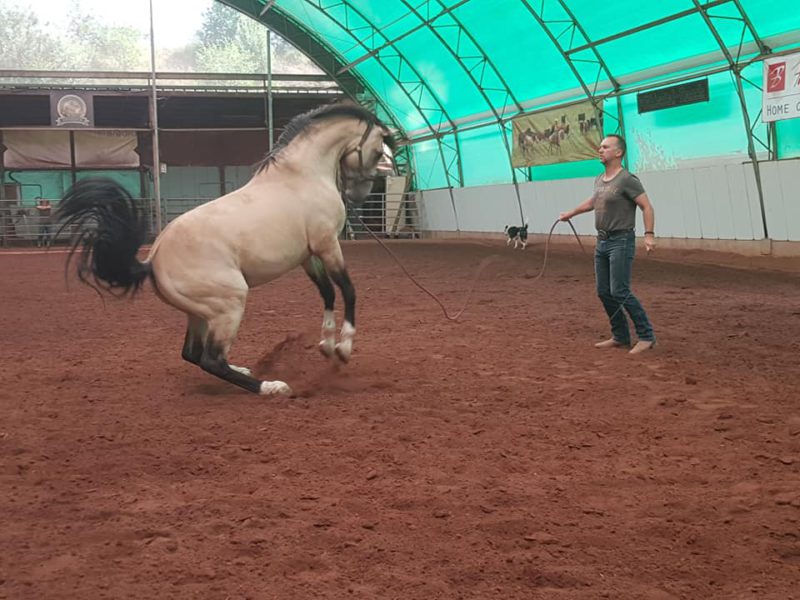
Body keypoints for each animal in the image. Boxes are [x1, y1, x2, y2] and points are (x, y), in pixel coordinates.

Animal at [56, 103, 394, 398]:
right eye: (379, 150)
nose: (359, 195)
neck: (301, 175)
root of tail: (151, 260)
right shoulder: (327, 245)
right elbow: (348, 290)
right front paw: (343, 349)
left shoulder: (309, 255)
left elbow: (327, 293)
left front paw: (326, 345)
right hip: (230, 304)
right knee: (211, 359)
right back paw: (270, 387)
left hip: (200, 313)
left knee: (193, 354)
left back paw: (245, 371)